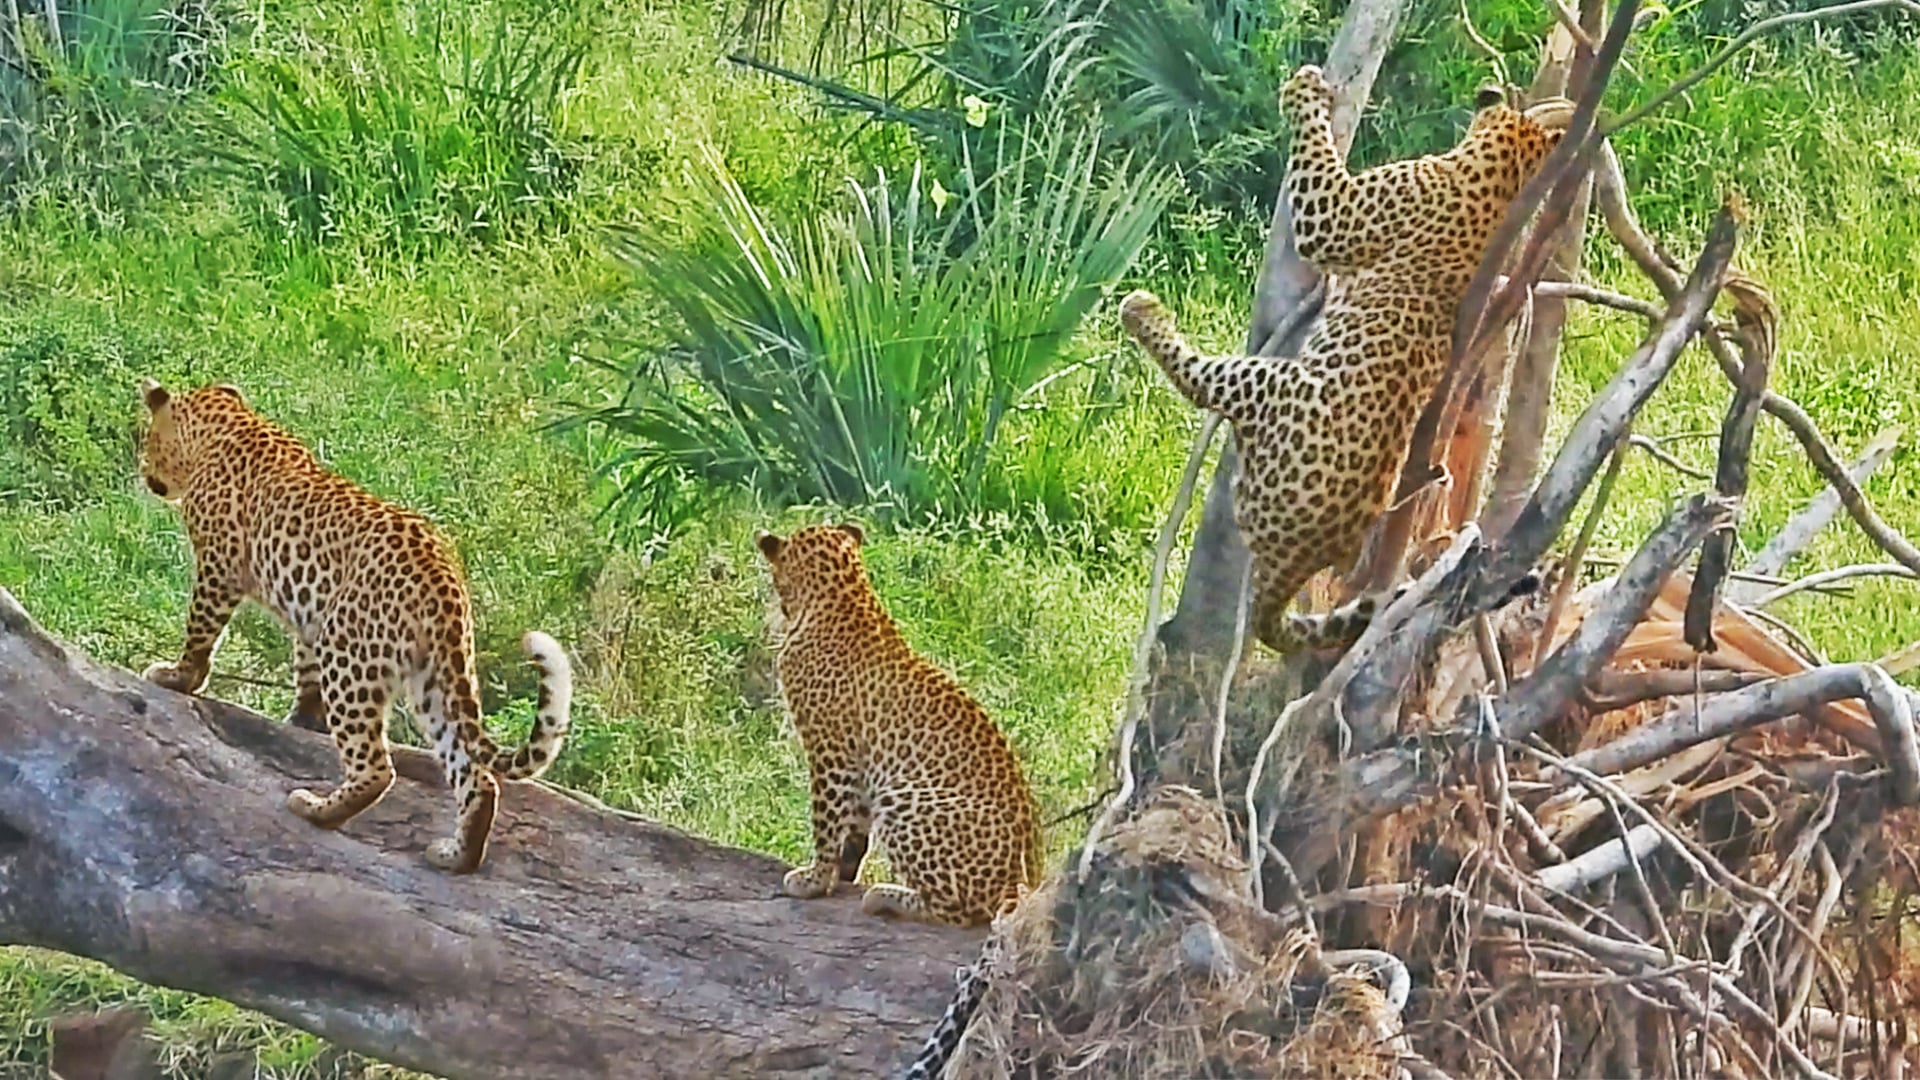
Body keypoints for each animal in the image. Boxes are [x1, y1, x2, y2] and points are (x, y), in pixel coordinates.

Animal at [136, 378, 572, 875]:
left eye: (146, 440)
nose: (145, 473)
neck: (226, 425)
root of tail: (443, 577)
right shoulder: (311, 612)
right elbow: (303, 667)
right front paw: (303, 719)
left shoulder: (218, 568)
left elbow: (199, 632)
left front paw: (177, 677)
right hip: (430, 680)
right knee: (475, 776)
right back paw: (454, 856)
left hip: (350, 655)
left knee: (376, 768)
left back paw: (315, 810)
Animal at [756, 522, 1042, 927]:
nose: (777, 606)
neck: (848, 597)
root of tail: (1023, 884)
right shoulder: (861, 761)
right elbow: (853, 828)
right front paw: (842, 875)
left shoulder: (830, 749)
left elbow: (825, 819)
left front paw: (813, 879)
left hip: (903, 798)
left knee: (960, 911)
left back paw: (884, 897)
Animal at [1121, 65, 1574, 654]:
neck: (1498, 182)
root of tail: (1296, 561)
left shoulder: (1336, 215)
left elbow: (1317, 160)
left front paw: (1304, 89)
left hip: (1268, 384)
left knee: (1199, 380)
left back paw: (1143, 312)